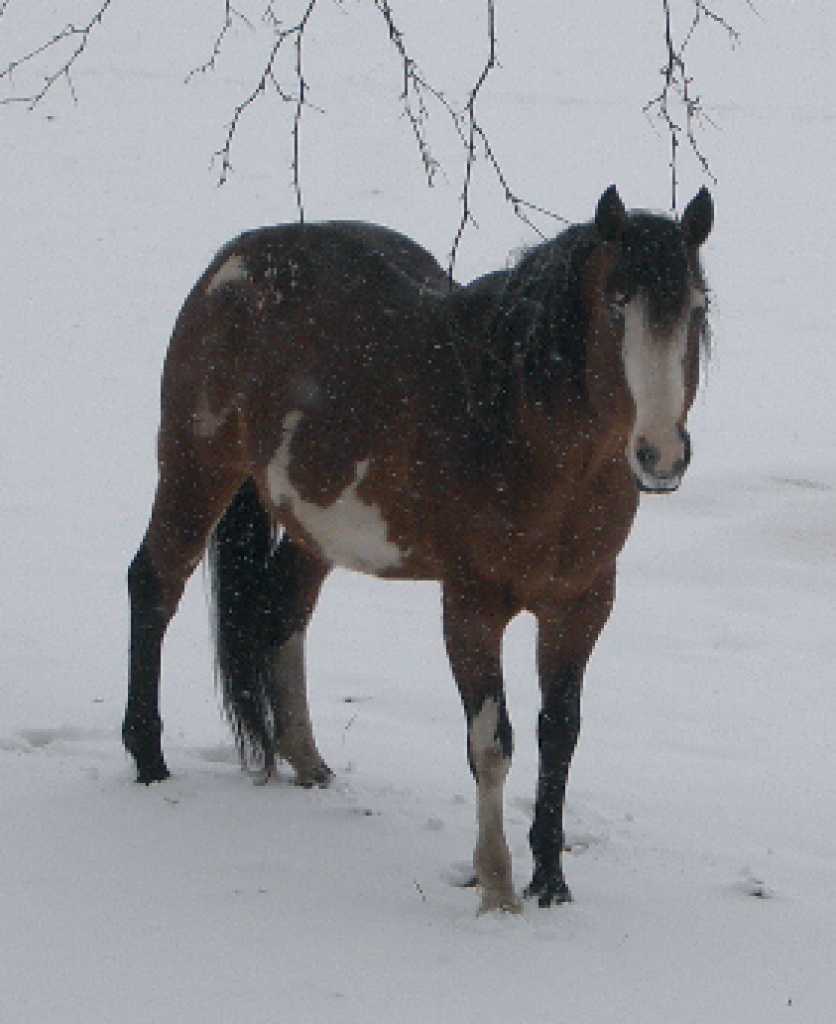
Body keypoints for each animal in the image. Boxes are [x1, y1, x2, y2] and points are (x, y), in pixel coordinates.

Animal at [124, 185, 713, 912]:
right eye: (615, 303)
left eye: (697, 308)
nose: (661, 455)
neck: (520, 425)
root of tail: (234, 260)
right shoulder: (471, 605)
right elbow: (492, 743)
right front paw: (497, 887)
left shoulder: (582, 603)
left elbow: (559, 733)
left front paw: (550, 879)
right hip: (196, 467)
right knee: (154, 584)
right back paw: (147, 759)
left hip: (313, 523)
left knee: (281, 612)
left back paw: (308, 761)